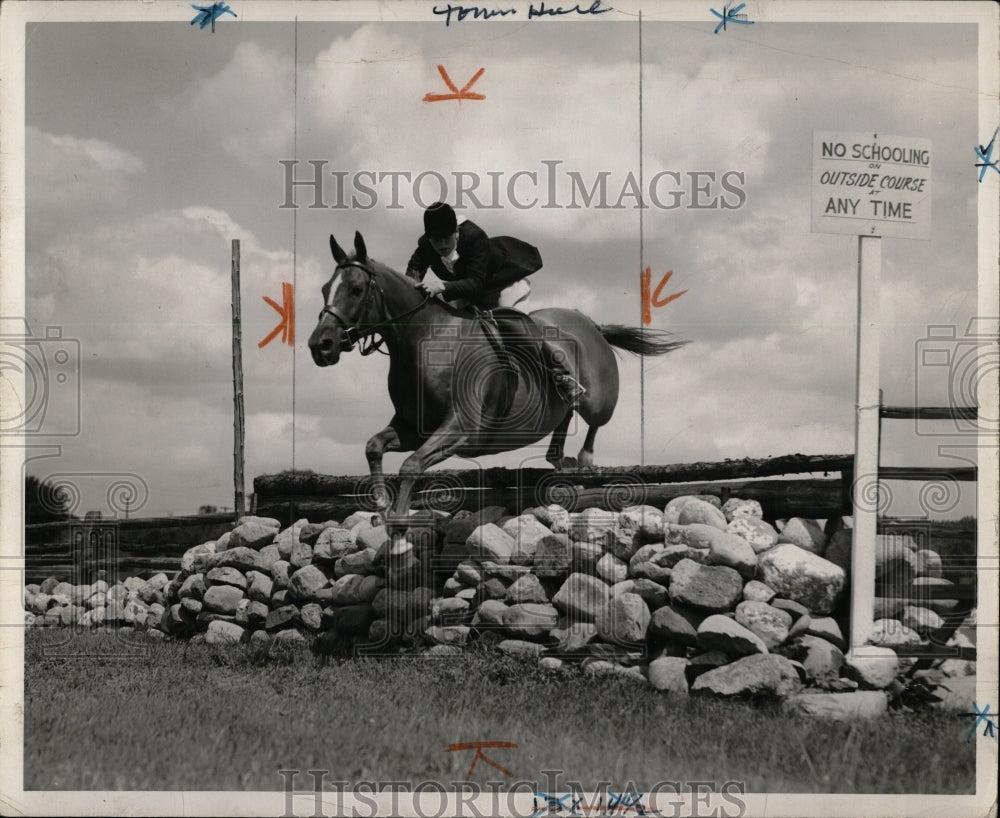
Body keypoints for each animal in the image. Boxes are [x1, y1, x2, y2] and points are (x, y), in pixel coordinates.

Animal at [306, 231, 688, 516]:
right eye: (325, 289)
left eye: (356, 289)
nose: (319, 346)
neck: (424, 341)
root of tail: (591, 324)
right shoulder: (413, 428)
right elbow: (374, 446)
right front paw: (382, 504)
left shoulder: (461, 428)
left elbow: (411, 466)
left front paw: (397, 521)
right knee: (563, 417)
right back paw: (558, 458)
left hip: (598, 400)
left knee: (592, 419)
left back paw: (583, 458)